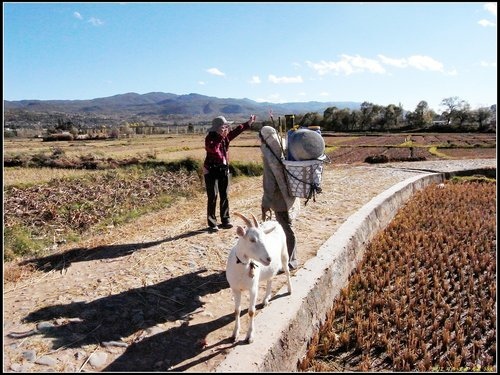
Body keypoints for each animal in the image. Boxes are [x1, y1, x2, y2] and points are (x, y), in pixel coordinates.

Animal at [225, 212, 292, 344]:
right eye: (252, 239)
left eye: (264, 239)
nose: (269, 258)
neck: (242, 269)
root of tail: (274, 222)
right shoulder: (235, 289)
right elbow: (237, 311)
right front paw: (234, 334)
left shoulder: (253, 288)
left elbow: (251, 311)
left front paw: (249, 336)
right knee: (270, 278)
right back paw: (266, 299)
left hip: (284, 254)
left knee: (287, 271)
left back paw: (289, 290)